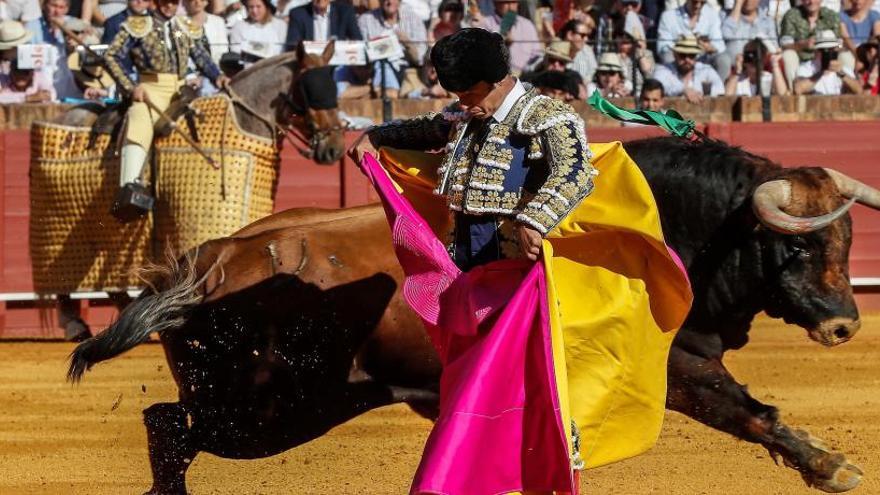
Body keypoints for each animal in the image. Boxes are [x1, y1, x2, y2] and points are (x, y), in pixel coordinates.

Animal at [70, 137, 880, 495]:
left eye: (845, 240)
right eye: (797, 247)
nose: (845, 324)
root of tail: (209, 260)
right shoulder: (670, 365)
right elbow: (746, 410)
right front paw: (833, 465)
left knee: (168, 425)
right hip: (269, 409)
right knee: (170, 426)